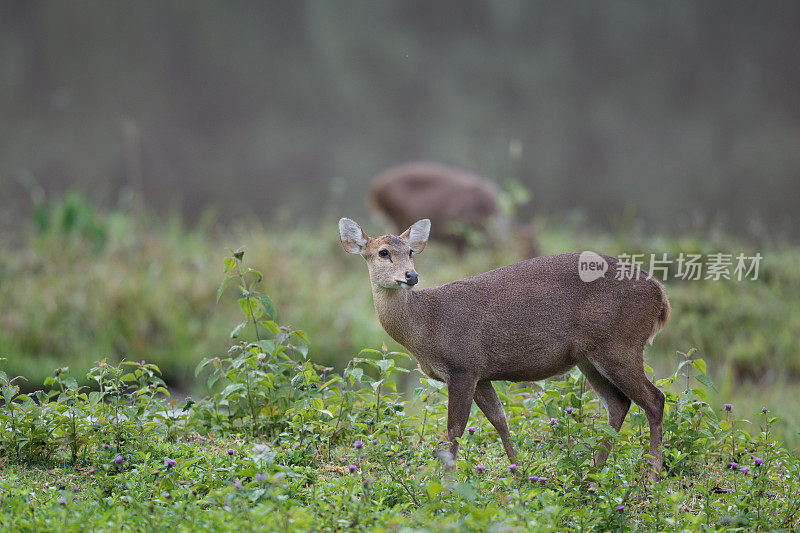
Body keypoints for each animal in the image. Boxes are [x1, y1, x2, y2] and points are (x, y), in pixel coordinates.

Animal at [338, 216, 668, 478]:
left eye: (409, 251)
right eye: (382, 252)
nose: (411, 275)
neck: (428, 325)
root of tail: (660, 295)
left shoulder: (462, 365)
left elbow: (454, 430)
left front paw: (446, 485)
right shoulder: (481, 373)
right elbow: (500, 420)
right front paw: (520, 473)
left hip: (620, 343)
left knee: (654, 399)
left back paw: (651, 476)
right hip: (589, 356)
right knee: (619, 403)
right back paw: (593, 472)